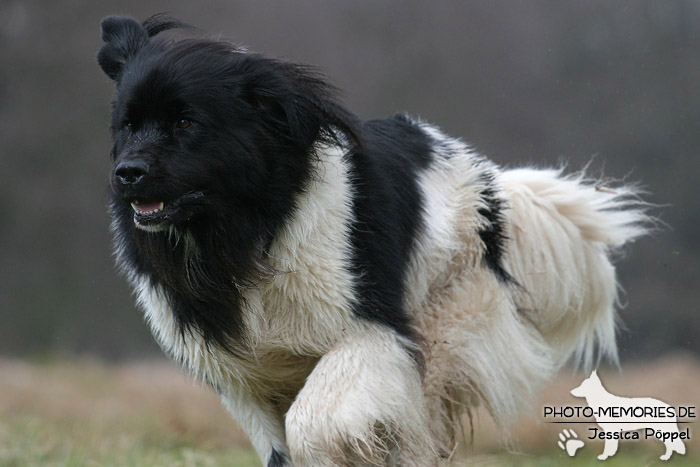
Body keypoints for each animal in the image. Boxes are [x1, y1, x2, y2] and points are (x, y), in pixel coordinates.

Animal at [97, 15, 644, 467]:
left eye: (185, 122)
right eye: (128, 125)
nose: (126, 173)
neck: (247, 226)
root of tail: (486, 178)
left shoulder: (370, 331)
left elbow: (311, 422)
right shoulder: (243, 378)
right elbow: (280, 445)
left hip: (447, 315)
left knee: (422, 423)